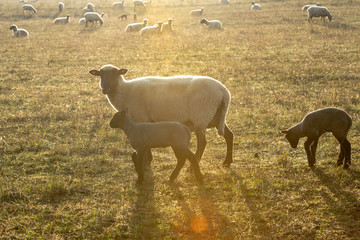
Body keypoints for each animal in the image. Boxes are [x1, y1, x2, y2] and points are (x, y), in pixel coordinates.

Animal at [89, 64, 235, 168]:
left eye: (115, 73)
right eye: (100, 74)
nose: (104, 89)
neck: (125, 91)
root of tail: (224, 91)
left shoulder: (142, 119)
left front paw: (147, 161)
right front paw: (148, 160)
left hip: (201, 117)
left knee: (203, 143)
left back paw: (193, 165)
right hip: (216, 116)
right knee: (229, 135)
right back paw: (227, 162)